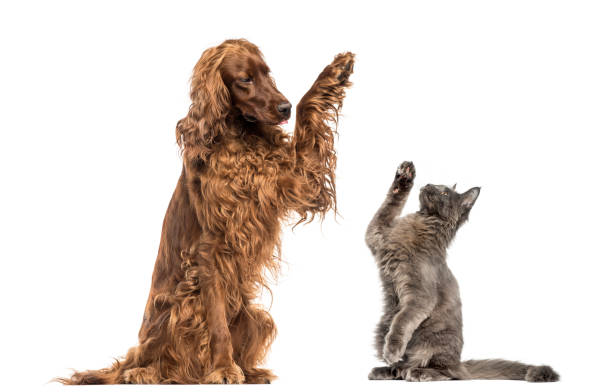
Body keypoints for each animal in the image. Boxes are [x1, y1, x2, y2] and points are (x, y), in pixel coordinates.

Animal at [58, 39, 354, 382]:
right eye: (245, 79)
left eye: (268, 74)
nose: (284, 107)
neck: (239, 140)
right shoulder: (210, 248)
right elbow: (217, 324)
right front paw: (223, 368)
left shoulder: (297, 181)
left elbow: (308, 113)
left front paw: (335, 71)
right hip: (179, 303)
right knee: (151, 364)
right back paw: (144, 373)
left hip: (253, 314)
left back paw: (250, 372)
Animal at [364, 161, 560, 382]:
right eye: (435, 184)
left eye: (444, 193)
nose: (429, 184)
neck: (423, 222)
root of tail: (459, 362)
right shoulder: (376, 233)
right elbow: (389, 204)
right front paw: (404, 177)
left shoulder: (420, 296)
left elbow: (402, 321)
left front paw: (392, 350)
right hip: (382, 326)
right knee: (406, 366)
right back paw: (386, 371)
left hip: (435, 342)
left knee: (448, 372)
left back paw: (419, 372)